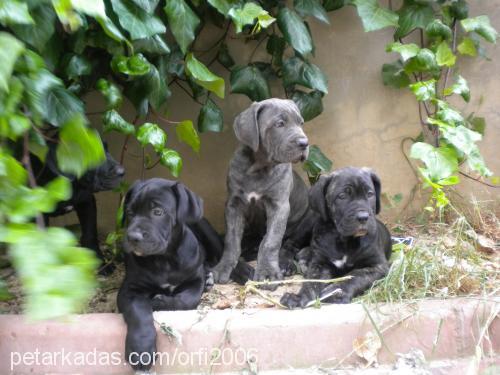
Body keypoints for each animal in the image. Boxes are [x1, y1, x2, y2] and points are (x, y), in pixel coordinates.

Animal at [212, 98, 314, 284]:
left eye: (301, 123)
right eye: (279, 124)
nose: (304, 143)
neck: (259, 167)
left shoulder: (279, 205)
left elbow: (271, 240)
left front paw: (267, 272)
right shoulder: (234, 205)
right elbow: (231, 240)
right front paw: (223, 267)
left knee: (289, 245)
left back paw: (286, 264)